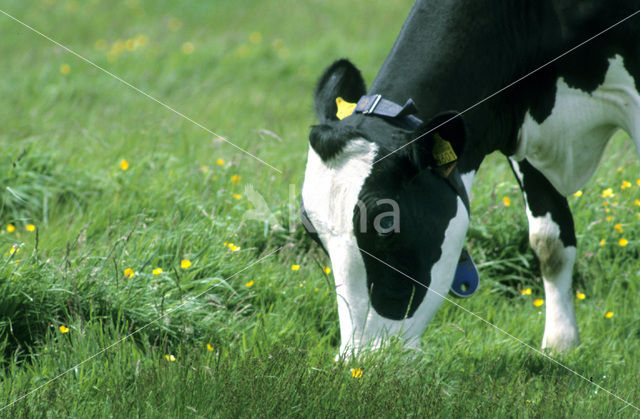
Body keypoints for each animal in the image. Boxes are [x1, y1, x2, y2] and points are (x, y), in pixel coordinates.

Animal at [300, 1, 640, 360]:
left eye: (387, 225)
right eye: (310, 230)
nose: (359, 360)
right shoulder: (523, 132)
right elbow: (550, 241)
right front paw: (561, 344)